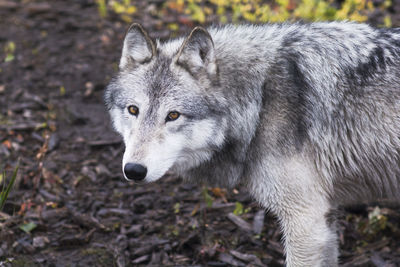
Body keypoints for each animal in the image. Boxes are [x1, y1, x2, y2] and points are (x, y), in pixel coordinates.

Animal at [105, 22, 400, 266]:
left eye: (173, 115)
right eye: (133, 110)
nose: (133, 170)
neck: (260, 101)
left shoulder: (306, 220)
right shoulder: (324, 218)